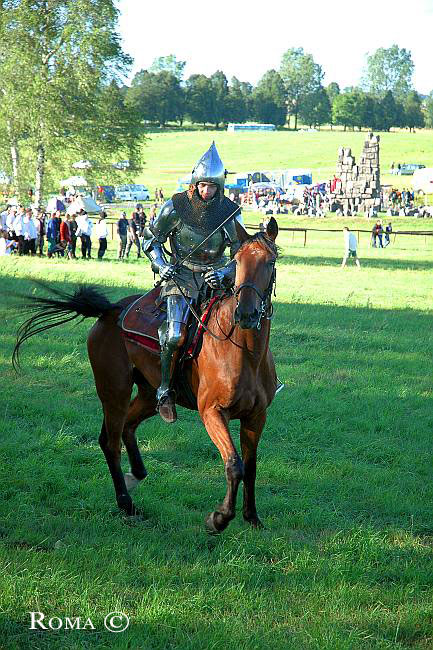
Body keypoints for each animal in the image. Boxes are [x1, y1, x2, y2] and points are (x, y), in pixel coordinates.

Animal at [13, 218, 279, 533]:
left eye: (270, 261)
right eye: (237, 262)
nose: (246, 313)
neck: (245, 352)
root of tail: (110, 311)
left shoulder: (256, 416)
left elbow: (251, 466)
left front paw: (252, 517)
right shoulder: (213, 413)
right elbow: (234, 465)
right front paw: (220, 518)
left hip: (149, 395)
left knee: (127, 427)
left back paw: (136, 475)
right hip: (114, 391)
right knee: (111, 441)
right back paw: (126, 503)